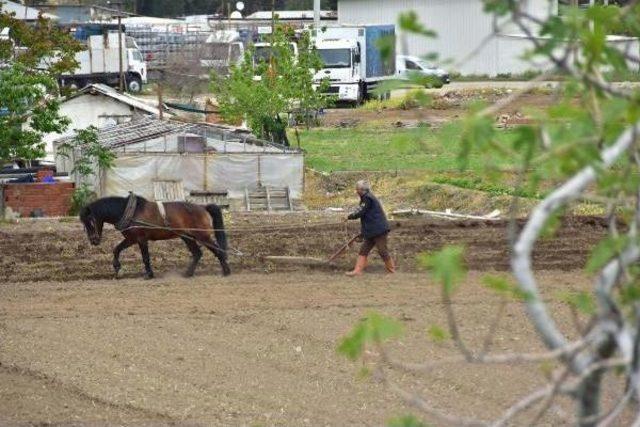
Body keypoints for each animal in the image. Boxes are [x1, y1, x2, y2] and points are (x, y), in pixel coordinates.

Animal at [79, 195, 230, 280]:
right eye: (84, 223)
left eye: (91, 221)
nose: (93, 240)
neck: (131, 212)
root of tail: (203, 207)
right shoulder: (131, 239)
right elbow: (116, 249)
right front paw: (117, 268)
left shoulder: (141, 239)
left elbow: (145, 257)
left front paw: (149, 274)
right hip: (188, 237)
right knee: (197, 254)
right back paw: (188, 273)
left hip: (202, 236)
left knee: (218, 250)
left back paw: (226, 271)